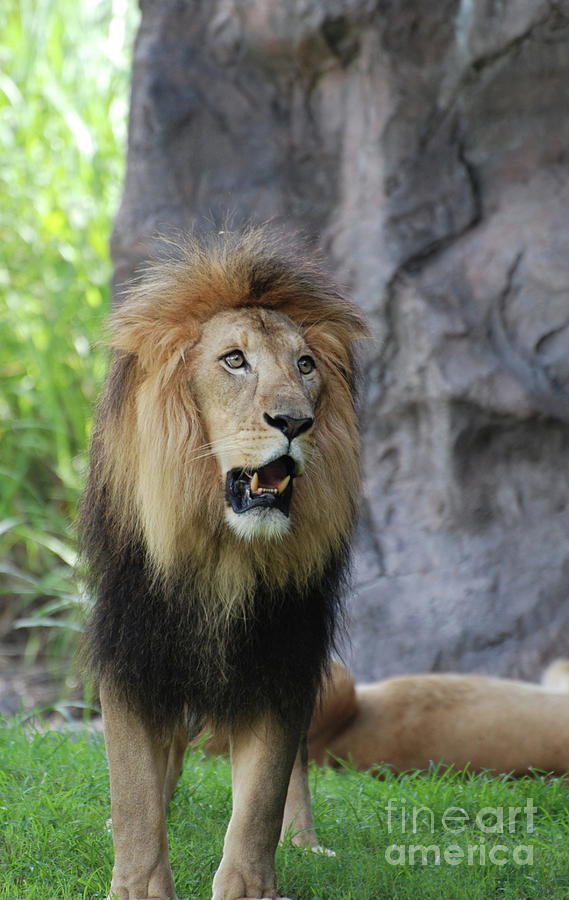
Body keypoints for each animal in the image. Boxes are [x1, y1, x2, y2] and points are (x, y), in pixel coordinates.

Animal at [80, 227, 366, 900]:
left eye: (305, 365)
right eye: (234, 360)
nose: (295, 422)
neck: (226, 551)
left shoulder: (283, 654)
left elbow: (261, 796)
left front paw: (248, 886)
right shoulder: (133, 645)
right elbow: (134, 789)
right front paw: (138, 884)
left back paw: (304, 839)